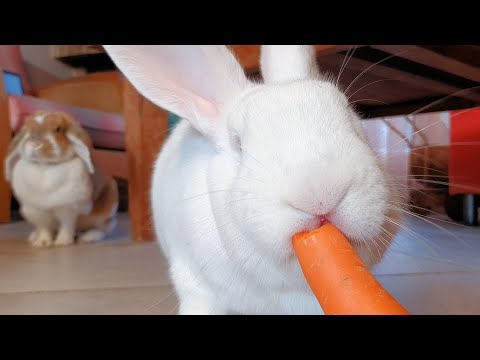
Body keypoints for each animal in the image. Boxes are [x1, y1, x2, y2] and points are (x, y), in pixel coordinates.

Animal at [3, 111, 119, 246]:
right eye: (28, 129)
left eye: (58, 129)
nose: (35, 144)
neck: (45, 166)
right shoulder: (38, 212)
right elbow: (45, 229)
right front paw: (42, 243)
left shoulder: (67, 210)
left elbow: (66, 227)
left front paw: (62, 242)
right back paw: (33, 236)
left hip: (105, 215)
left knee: (103, 230)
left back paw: (87, 238)